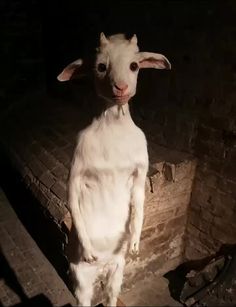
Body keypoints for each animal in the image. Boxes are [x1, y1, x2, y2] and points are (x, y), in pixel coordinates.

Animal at [57, 32, 171, 306]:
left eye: (135, 65)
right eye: (101, 67)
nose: (121, 88)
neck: (114, 128)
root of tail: (102, 268)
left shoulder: (141, 164)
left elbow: (139, 199)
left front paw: (135, 245)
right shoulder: (78, 160)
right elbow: (72, 197)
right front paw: (88, 250)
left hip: (117, 271)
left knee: (111, 294)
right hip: (80, 278)